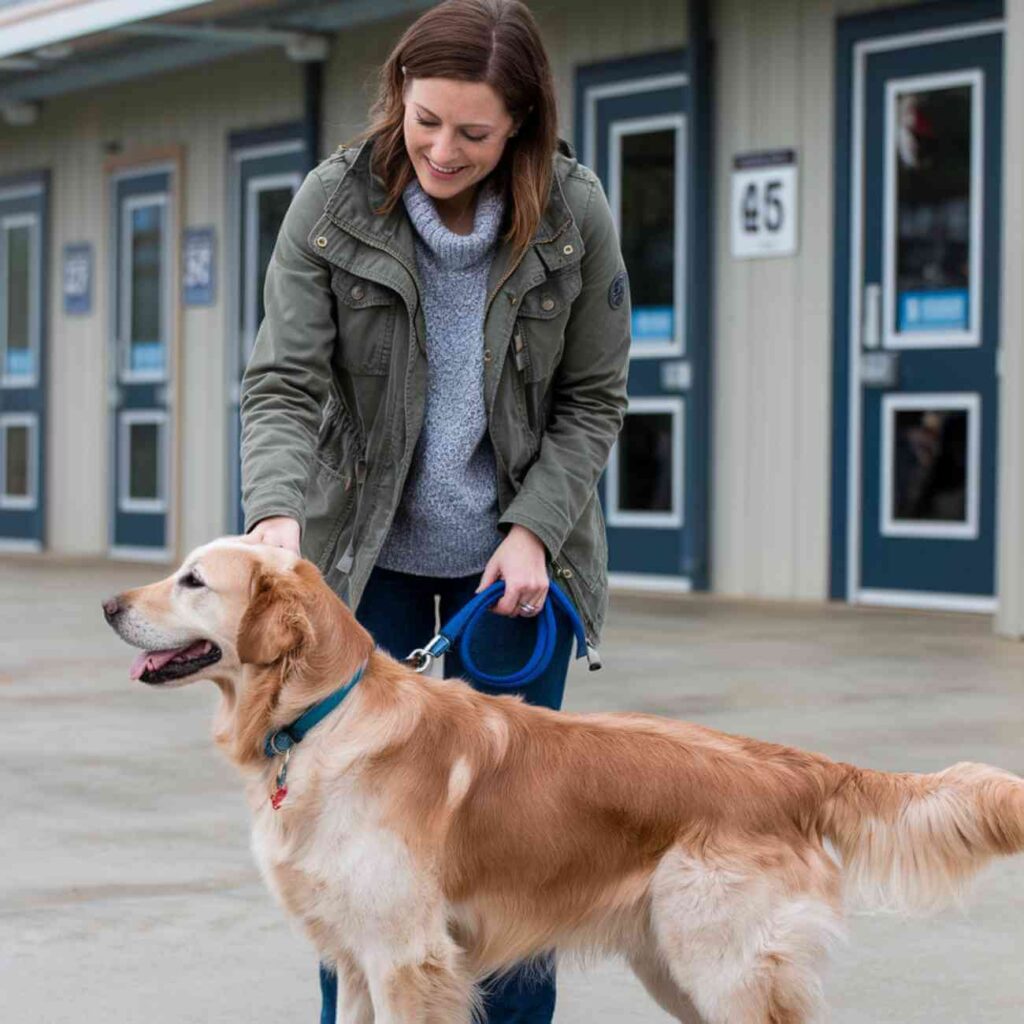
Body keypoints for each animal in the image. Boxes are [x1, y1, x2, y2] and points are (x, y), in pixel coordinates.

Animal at [105, 540, 1024, 1019]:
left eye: (193, 580)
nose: (109, 606)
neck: (322, 719)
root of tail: (791, 767)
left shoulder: (406, 955)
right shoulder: (356, 959)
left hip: (725, 964)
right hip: (676, 964)